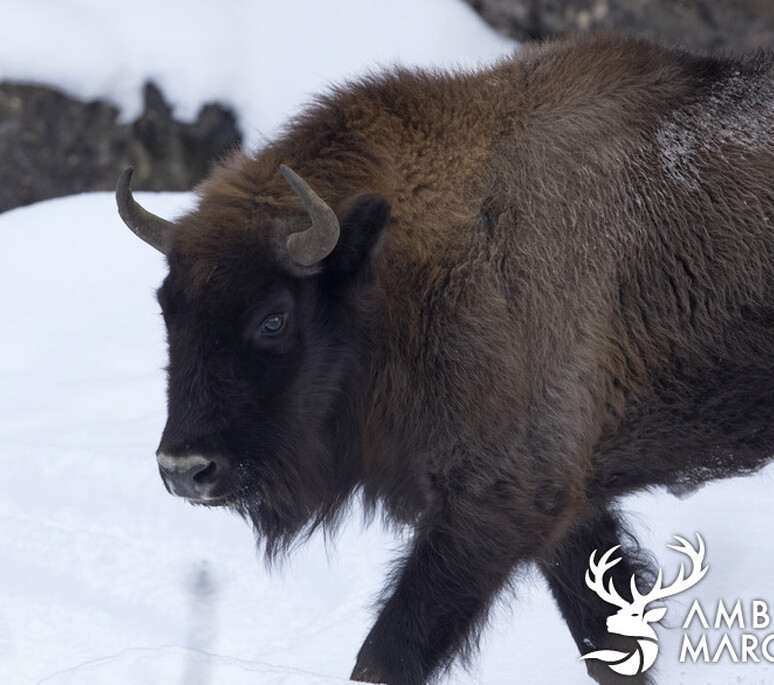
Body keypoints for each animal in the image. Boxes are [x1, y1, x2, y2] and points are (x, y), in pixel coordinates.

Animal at [116, 34, 774, 684]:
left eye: (273, 317)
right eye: (167, 308)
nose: (185, 469)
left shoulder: (493, 503)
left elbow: (387, 654)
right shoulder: (568, 511)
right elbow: (606, 637)